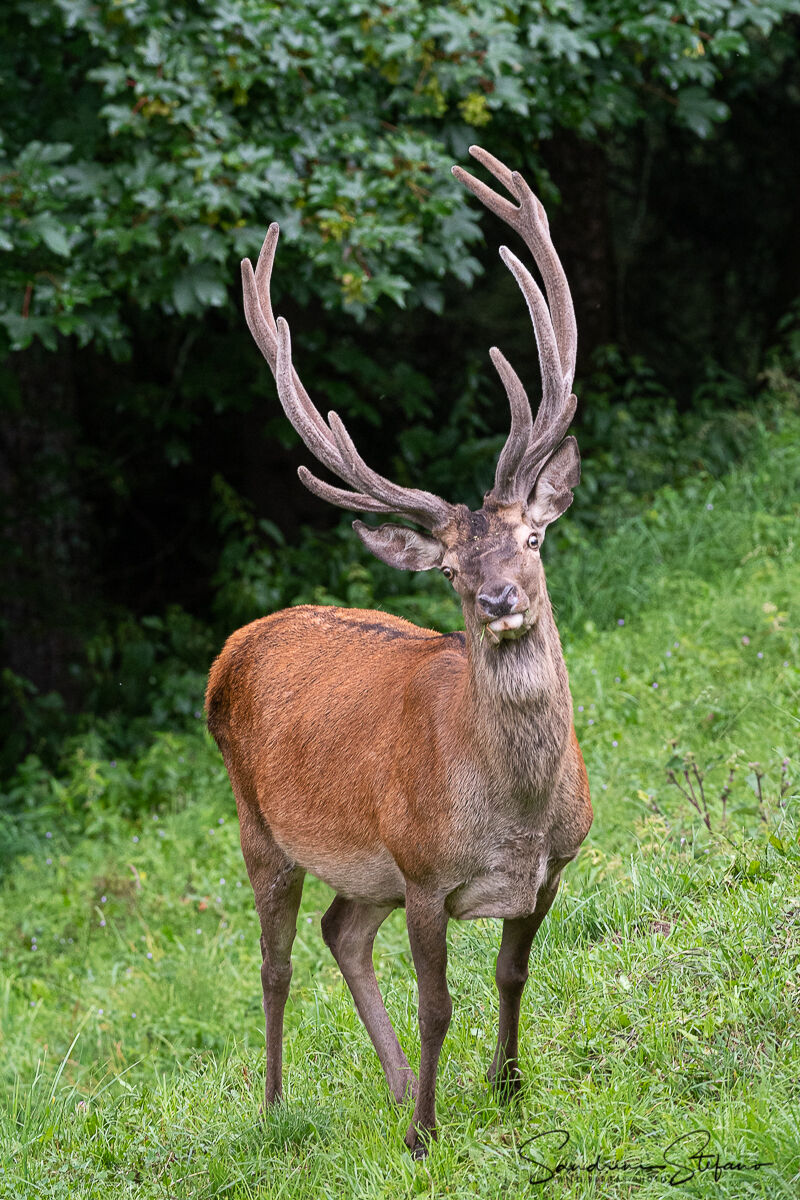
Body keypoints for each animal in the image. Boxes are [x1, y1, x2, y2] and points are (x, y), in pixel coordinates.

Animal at [206, 146, 592, 1157]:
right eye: (451, 570)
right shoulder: (421, 871)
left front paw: (505, 1087)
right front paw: (426, 1132)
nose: (498, 601)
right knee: (275, 962)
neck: (516, 817)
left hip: (363, 868)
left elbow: (508, 977)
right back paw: (277, 1104)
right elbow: (438, 1004)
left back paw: (388, 1089)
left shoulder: (552, 870)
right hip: (260, 825)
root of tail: (240, 640)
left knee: (342, 930)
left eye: (532, 538)